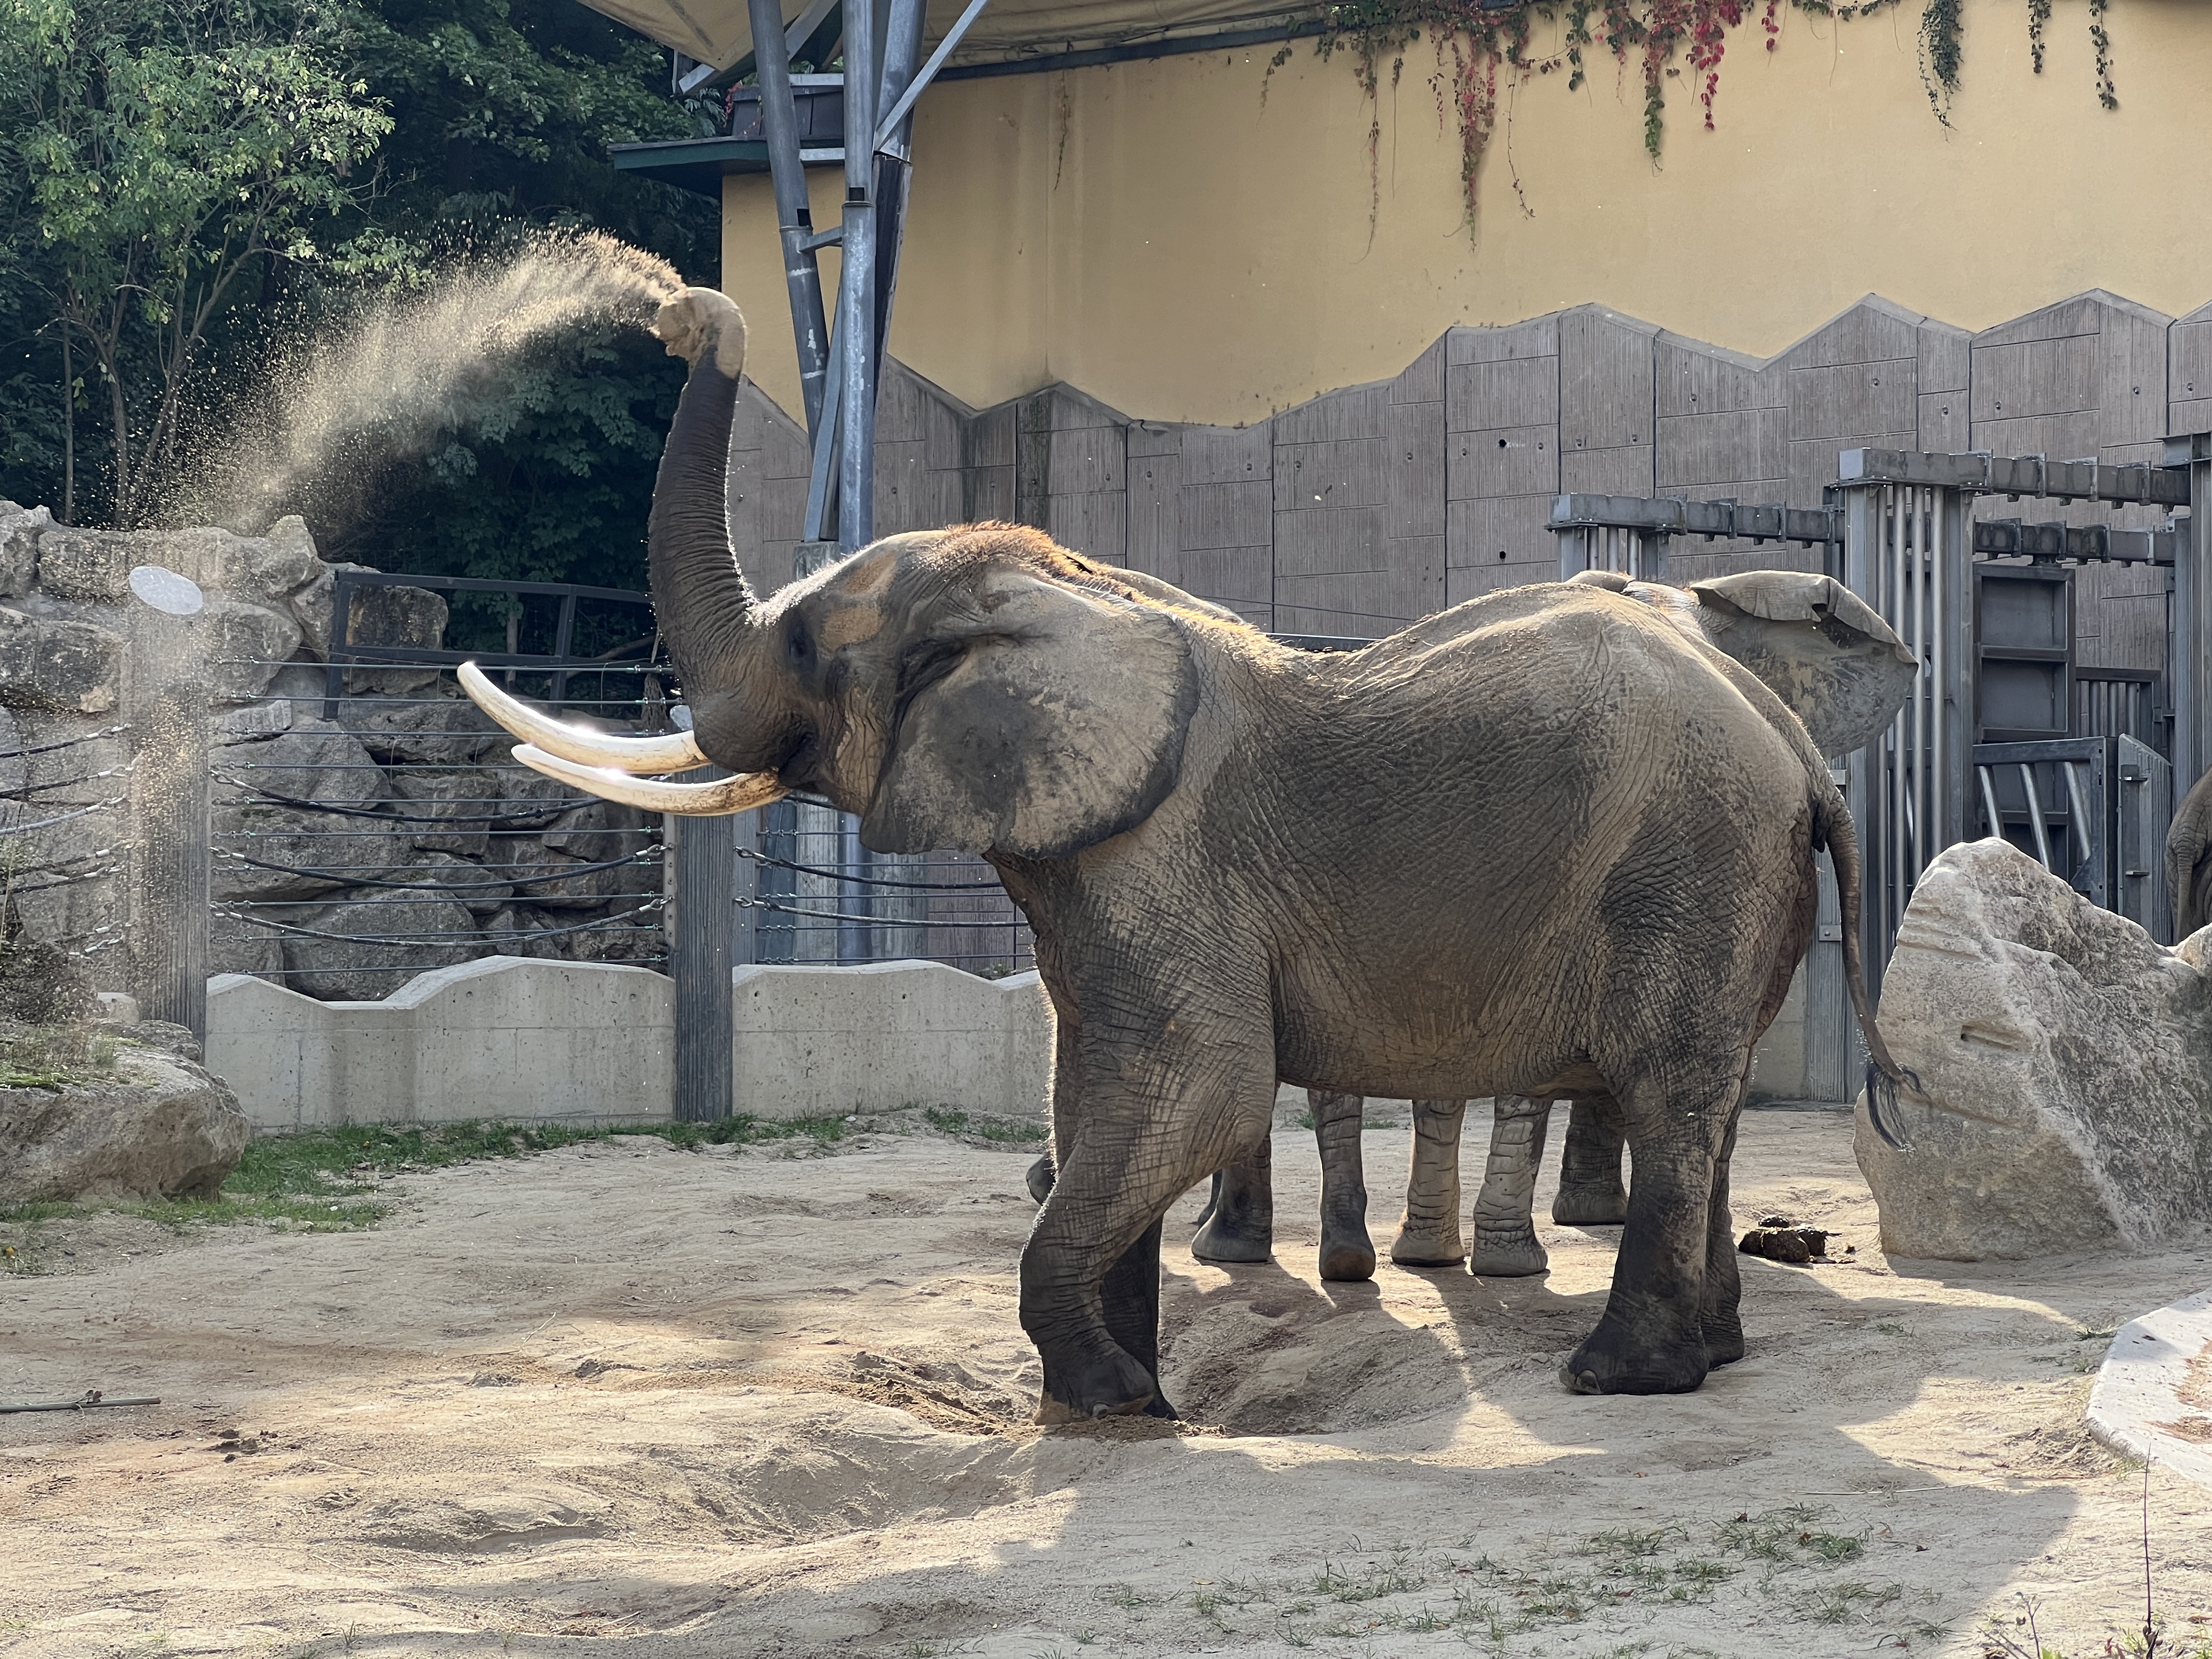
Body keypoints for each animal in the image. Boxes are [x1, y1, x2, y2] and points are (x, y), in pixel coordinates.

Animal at [461, 285, 1917, 1414]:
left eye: (811, 644)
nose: (682, 312)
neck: (1070, 588)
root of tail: (1796, 749)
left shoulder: (1162, 858)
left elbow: (1195, 1088)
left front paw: (1113, 1400)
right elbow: (1094, 1099)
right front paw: (1120, 1394)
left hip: (1691, 863)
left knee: (1671, 1097)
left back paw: (1615, 1380)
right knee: (1707, 1107)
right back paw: (1712, 1357)